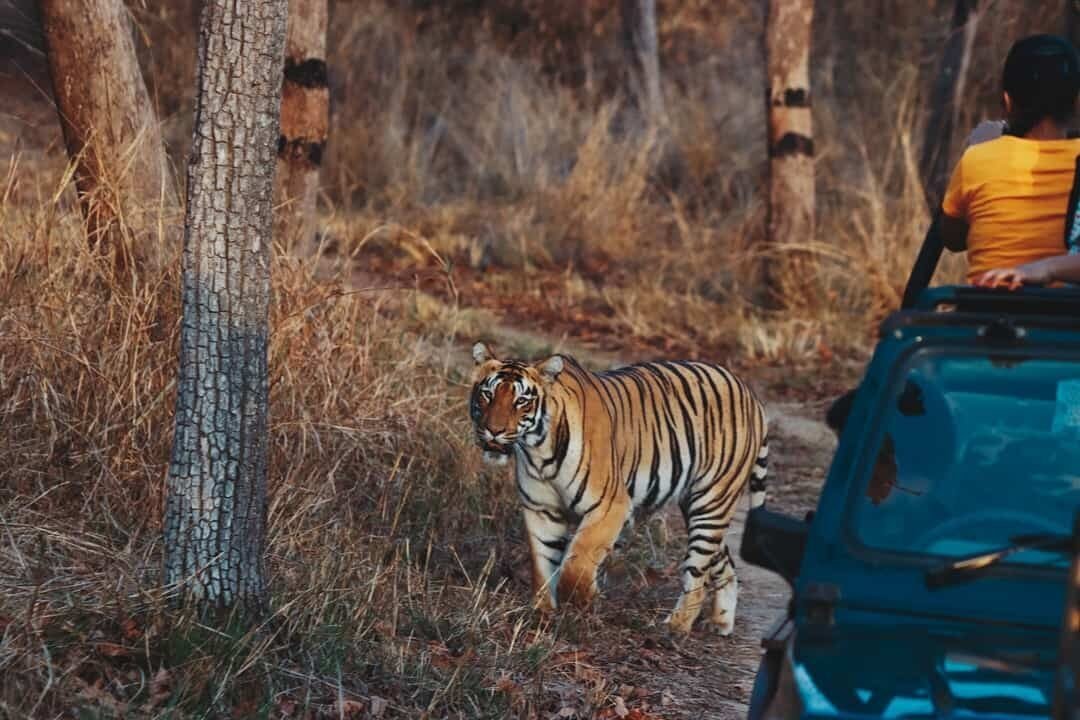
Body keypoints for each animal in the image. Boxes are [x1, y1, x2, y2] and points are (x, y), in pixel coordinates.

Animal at [469, 342, 769, 635]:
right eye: (487, 394)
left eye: (521, 401)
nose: (493, 430)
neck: (538, 451)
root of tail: (749, 393)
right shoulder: (541, 510)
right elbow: (543, 564)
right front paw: (542, 613)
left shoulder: (610, 506)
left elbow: (576, 564)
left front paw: (587, 600)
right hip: (696, 506)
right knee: (724, 563)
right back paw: (720, 622)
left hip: (712, 501)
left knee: (698, 570)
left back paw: (676, 627)